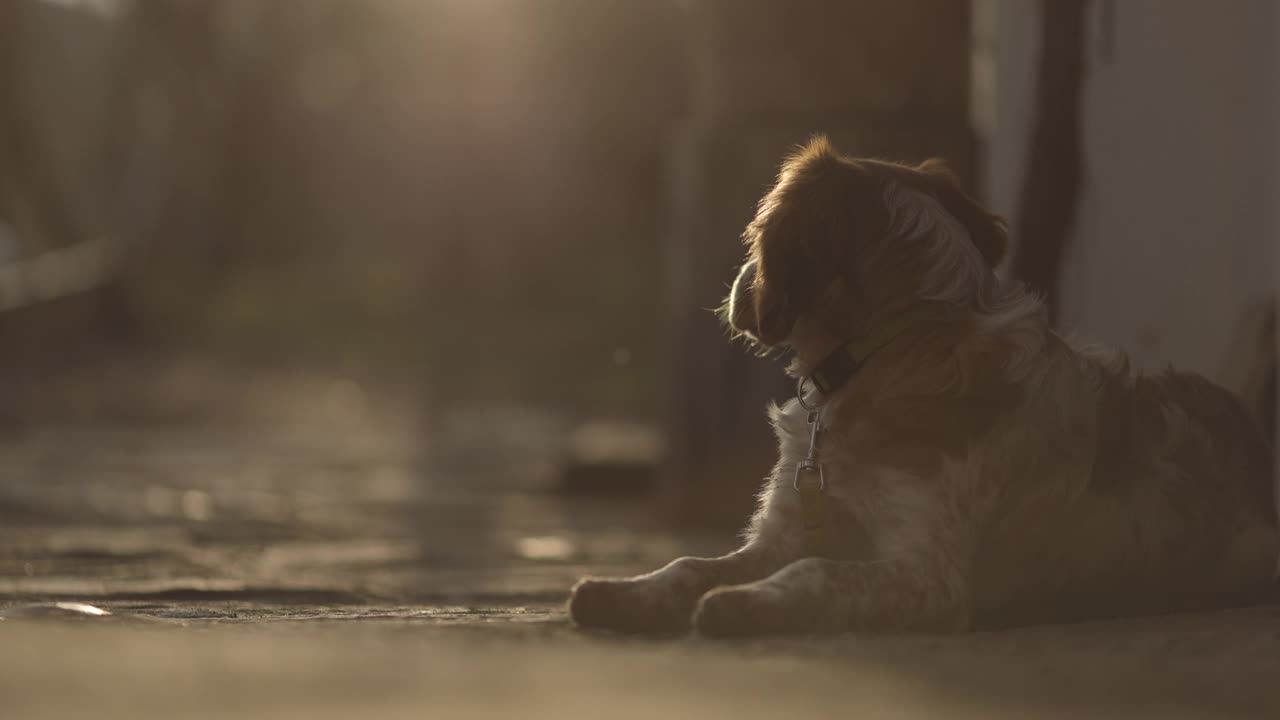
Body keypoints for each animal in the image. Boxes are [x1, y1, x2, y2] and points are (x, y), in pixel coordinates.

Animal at [573, 134, 1280, 632]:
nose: (737, 287)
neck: (891, 355)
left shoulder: (927, 575)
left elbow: (815, 572)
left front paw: (740, 603)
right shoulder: (782, 530)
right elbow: (690, 563)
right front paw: (624, 591)